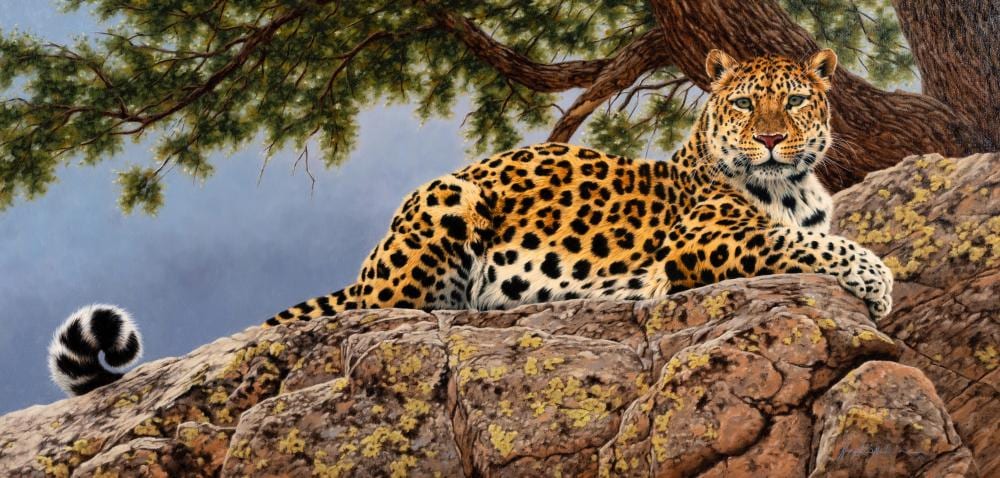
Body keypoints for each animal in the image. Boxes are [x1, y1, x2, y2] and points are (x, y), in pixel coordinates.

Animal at [48, 49, 893, 396]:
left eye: (796, 100)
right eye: (746, 103)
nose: (772, 137)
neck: (791, 184)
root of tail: (367, 258)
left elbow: (819, 233)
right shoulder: (707, 239)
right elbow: (813, 242)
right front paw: (879, 285)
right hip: (443, 208)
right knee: (387, 312)